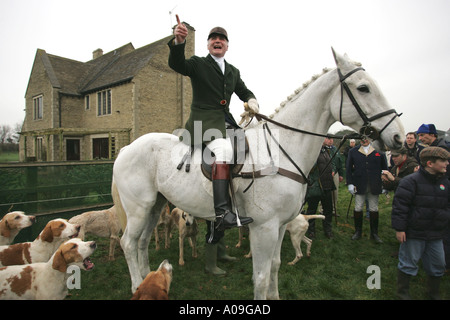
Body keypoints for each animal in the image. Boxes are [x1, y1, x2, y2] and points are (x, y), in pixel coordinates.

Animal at [111, 48, 404, 298]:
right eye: (364, 88)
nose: (398, 137)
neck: (282, 148)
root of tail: (126, 147)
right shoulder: (264, 228)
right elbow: (261, 277)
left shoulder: (282, 225)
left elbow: (275, 266)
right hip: (138, 208)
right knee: (129, 243)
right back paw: (137, 286)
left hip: (155, 205)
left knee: (142, 243)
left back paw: (149, 280)